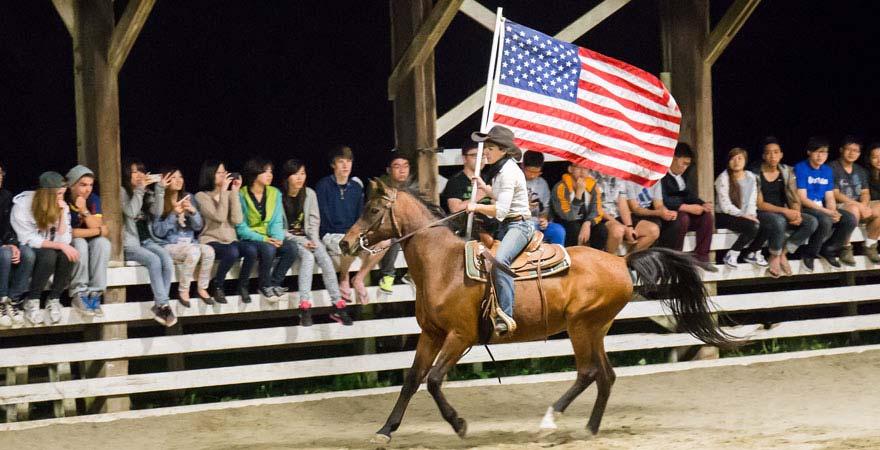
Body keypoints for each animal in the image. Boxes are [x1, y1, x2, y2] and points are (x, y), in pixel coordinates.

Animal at [340, 179, 732, 442]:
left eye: (373, 210)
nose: (345, 242)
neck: (443, 264)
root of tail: (621, 261)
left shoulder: (459, 335)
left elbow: (434, 380)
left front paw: (459, 424)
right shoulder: (431, 334)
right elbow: (411, 380)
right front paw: (385, 430)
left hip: (580, 326)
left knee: (587, 372)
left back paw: (548, 422)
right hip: (596, 328)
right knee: (605, 376)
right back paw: (589, 428)